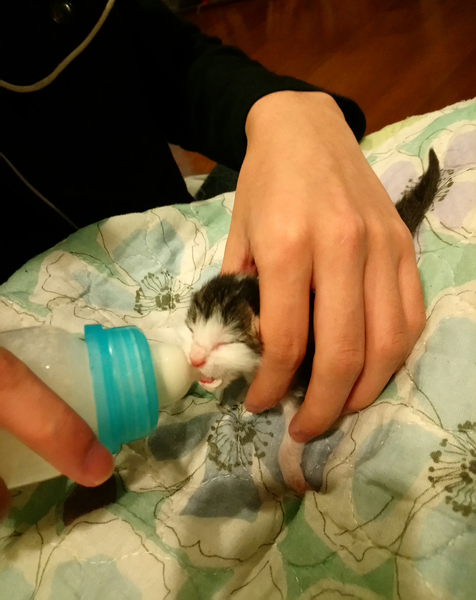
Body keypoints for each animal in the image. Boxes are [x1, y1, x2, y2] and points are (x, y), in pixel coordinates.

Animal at [181, 149, 440, 494]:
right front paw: (227, 390)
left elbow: (293, 435)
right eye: (192, 332)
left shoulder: (302, 380)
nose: (195, 359)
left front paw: (292, 472)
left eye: (225, 343)